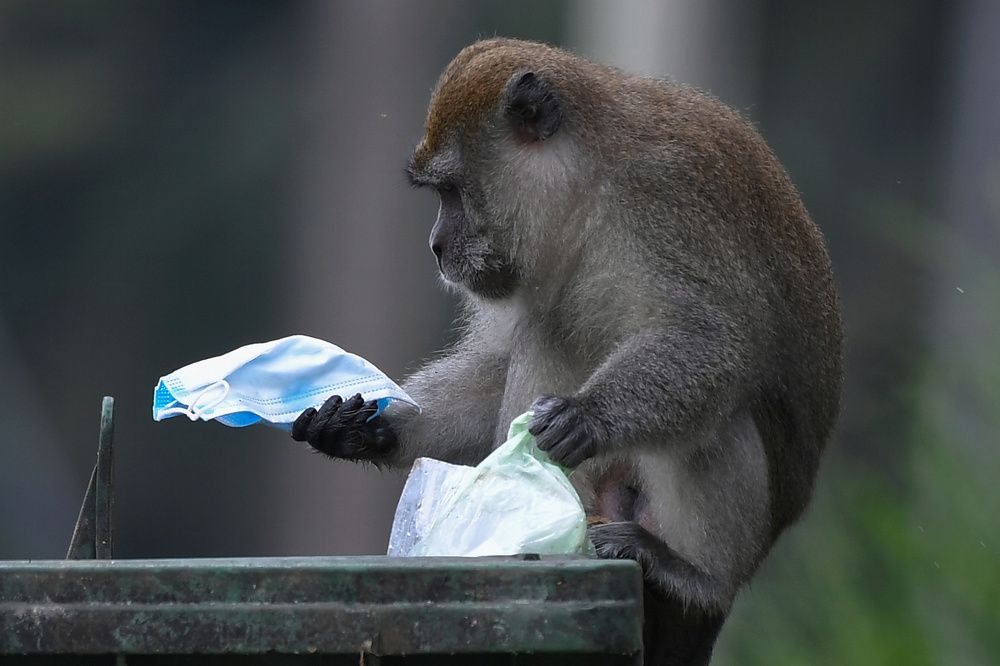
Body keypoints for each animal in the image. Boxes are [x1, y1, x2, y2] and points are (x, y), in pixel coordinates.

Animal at [291, 38, 843, 666]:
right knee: (549, 327)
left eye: (451, 191)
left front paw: (587, 416)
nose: (435, 245)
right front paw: (372, 429)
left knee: (717, 421)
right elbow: (499, 363)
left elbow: (711, 339)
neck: (589, 186)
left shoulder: (666, 192)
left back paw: (690, 574)